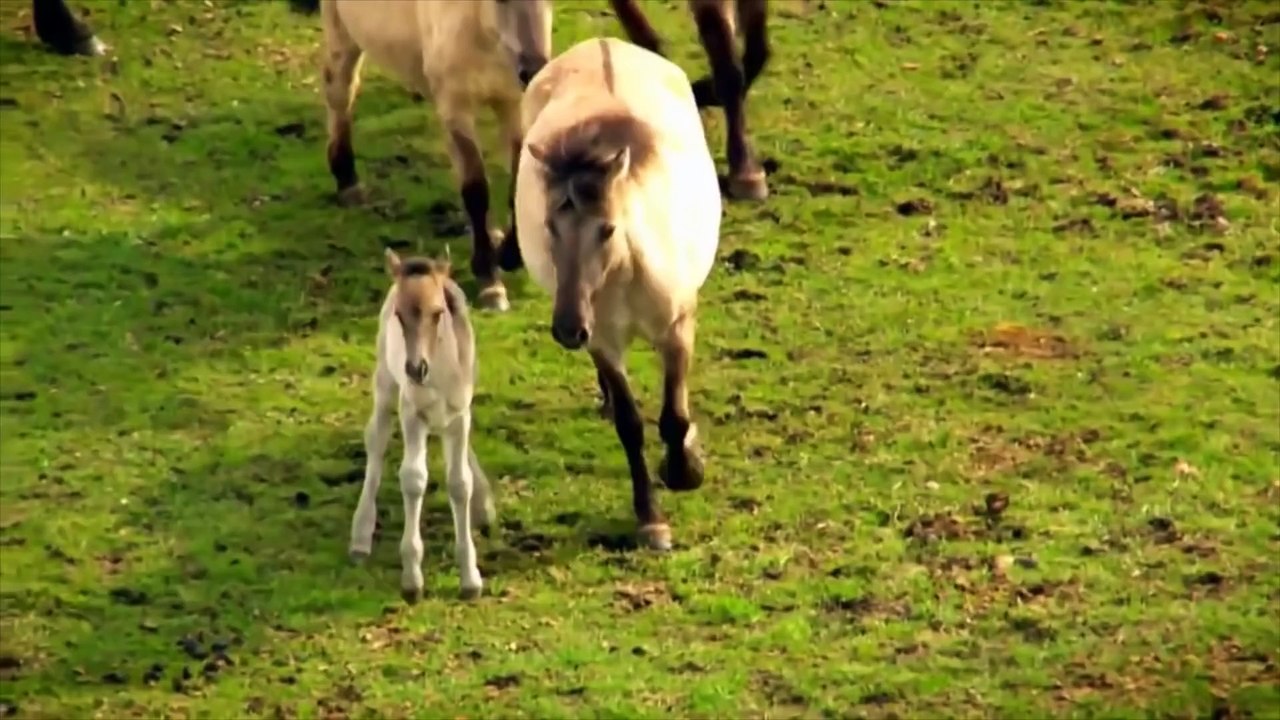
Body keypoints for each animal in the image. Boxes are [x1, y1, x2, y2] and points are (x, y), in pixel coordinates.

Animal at [319, 0, 552, 312]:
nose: (534, 70)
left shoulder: (511, 102)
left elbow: (516, 181)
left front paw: (508, 254)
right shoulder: (455, 107)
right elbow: (475, 191)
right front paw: (490, 281)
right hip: (340, 31)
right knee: (340, 89)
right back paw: (348, 183)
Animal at [349, 248, 498, 603]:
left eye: (438, 312)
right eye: (400, 315)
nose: (416, 369)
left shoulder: (460, 415)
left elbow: (459, 482)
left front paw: (470, 580)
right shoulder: (411, 414)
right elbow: (414, 478)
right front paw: (412, 580)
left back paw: (483, 506)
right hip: (385, 382)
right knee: (376, 439)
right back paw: (360, 535)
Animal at [514, 37, 721, 552]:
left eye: (607, 230)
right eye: (550, 227)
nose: (568, 329)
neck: (626, 274)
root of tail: (601, 44)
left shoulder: (677, 328)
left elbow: (674, 416)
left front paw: (686, 469)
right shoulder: (603, 340)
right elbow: (631, 424)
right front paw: (651, 519)